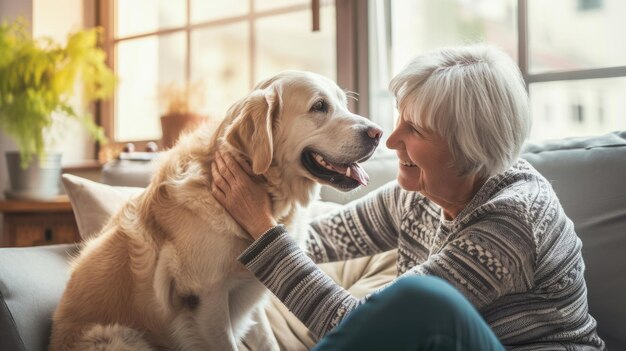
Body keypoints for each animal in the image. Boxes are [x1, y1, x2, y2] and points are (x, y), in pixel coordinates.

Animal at [50, 70, 380, 350]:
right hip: (119, 336)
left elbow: (267, 342)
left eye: (343, 103)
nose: (376, 133)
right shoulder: (206, 302)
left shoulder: (251, 297)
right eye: (319, 106)